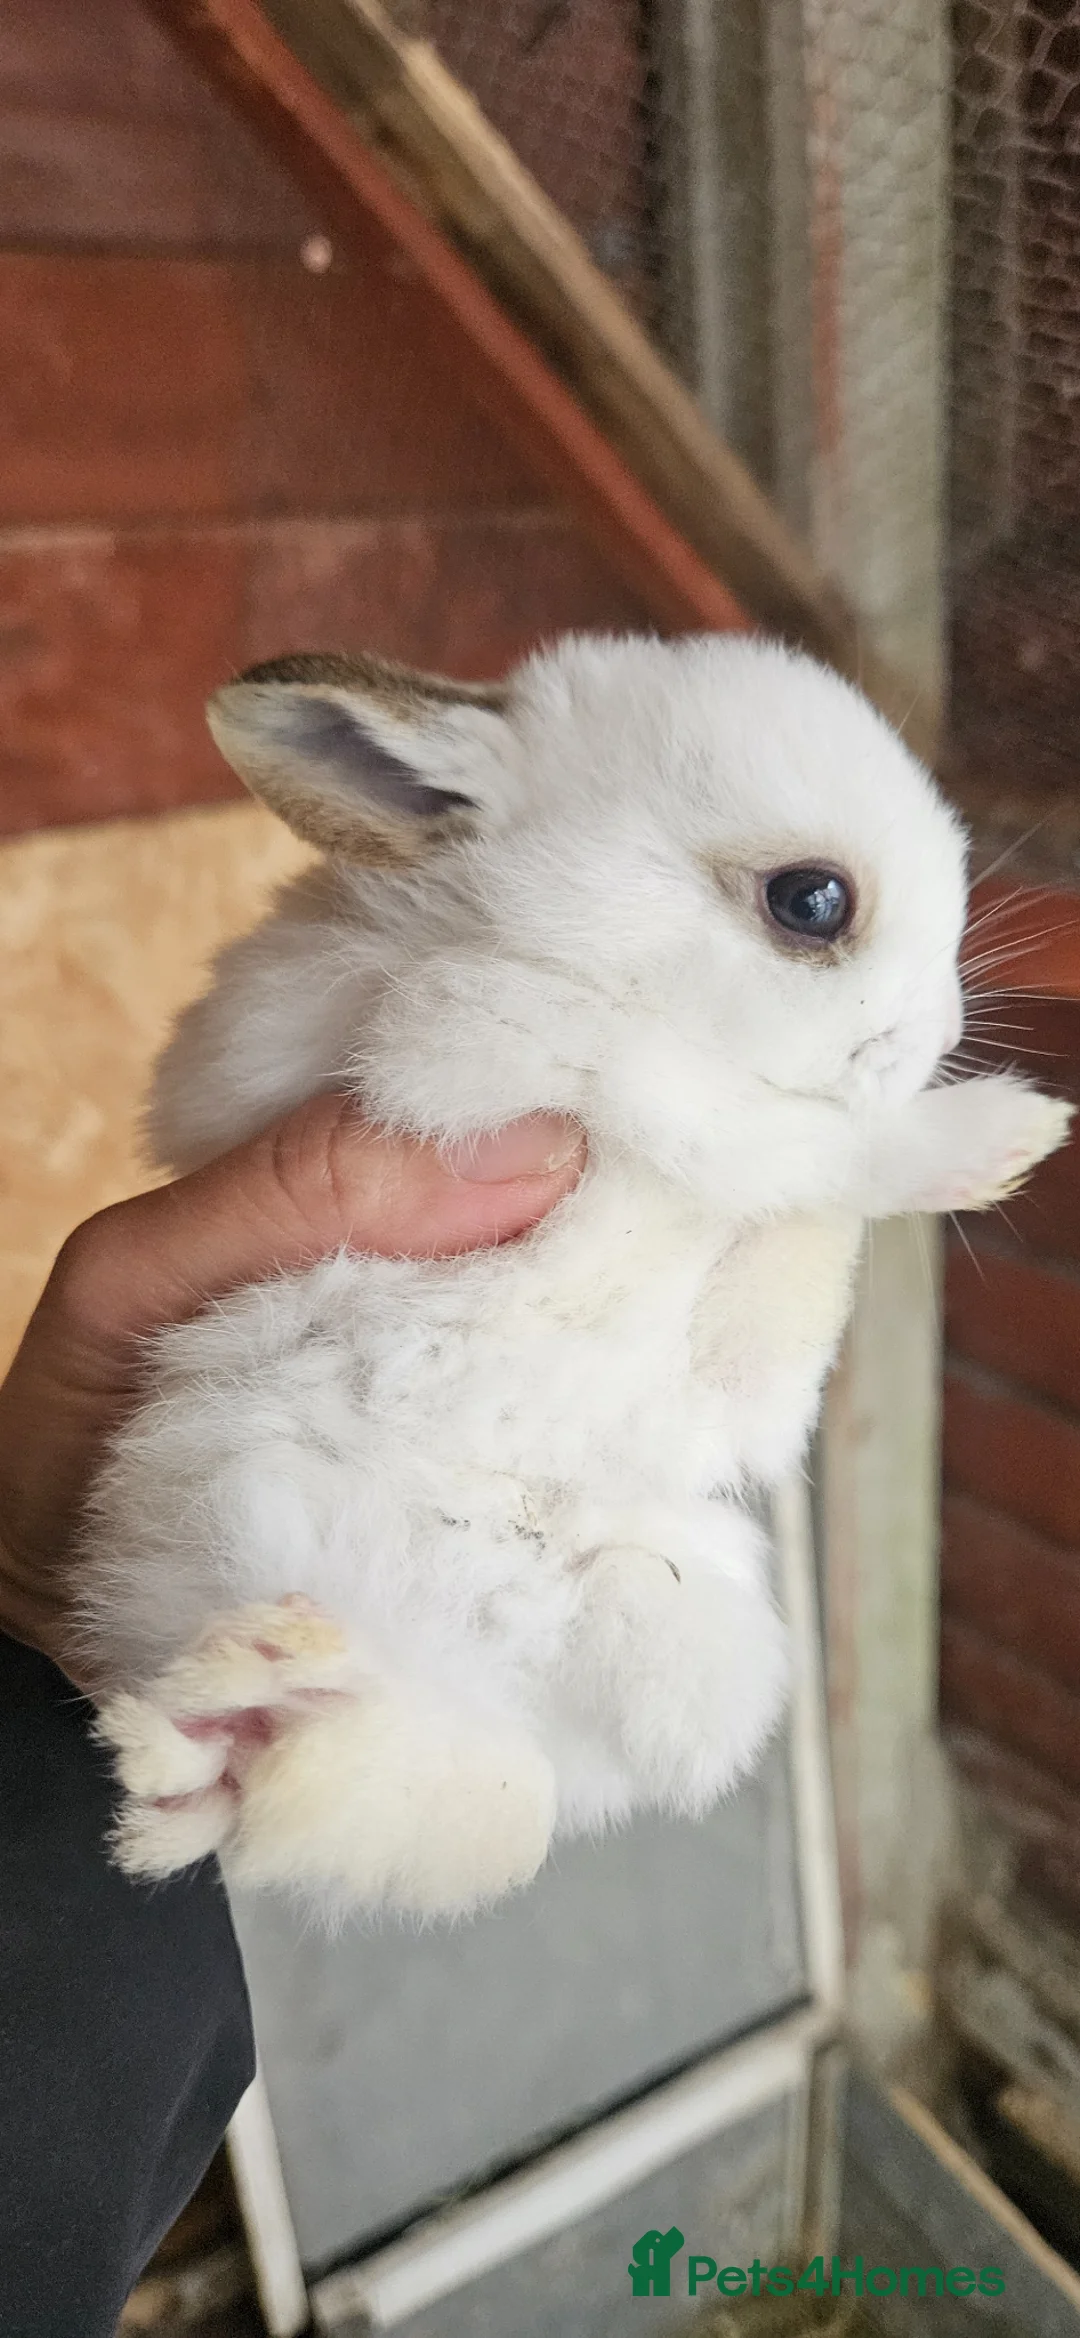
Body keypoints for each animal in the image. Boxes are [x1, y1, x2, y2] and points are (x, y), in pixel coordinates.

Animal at [85, 632, 1071, 1918]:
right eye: (812, 901)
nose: (936, 1035)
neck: (547, 939)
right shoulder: (515, 1055)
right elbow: (785, 1137)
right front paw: (1005, 1131)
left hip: (683, 1621)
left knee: (452, 1792)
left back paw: (250, 1734)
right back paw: (235, 1724)